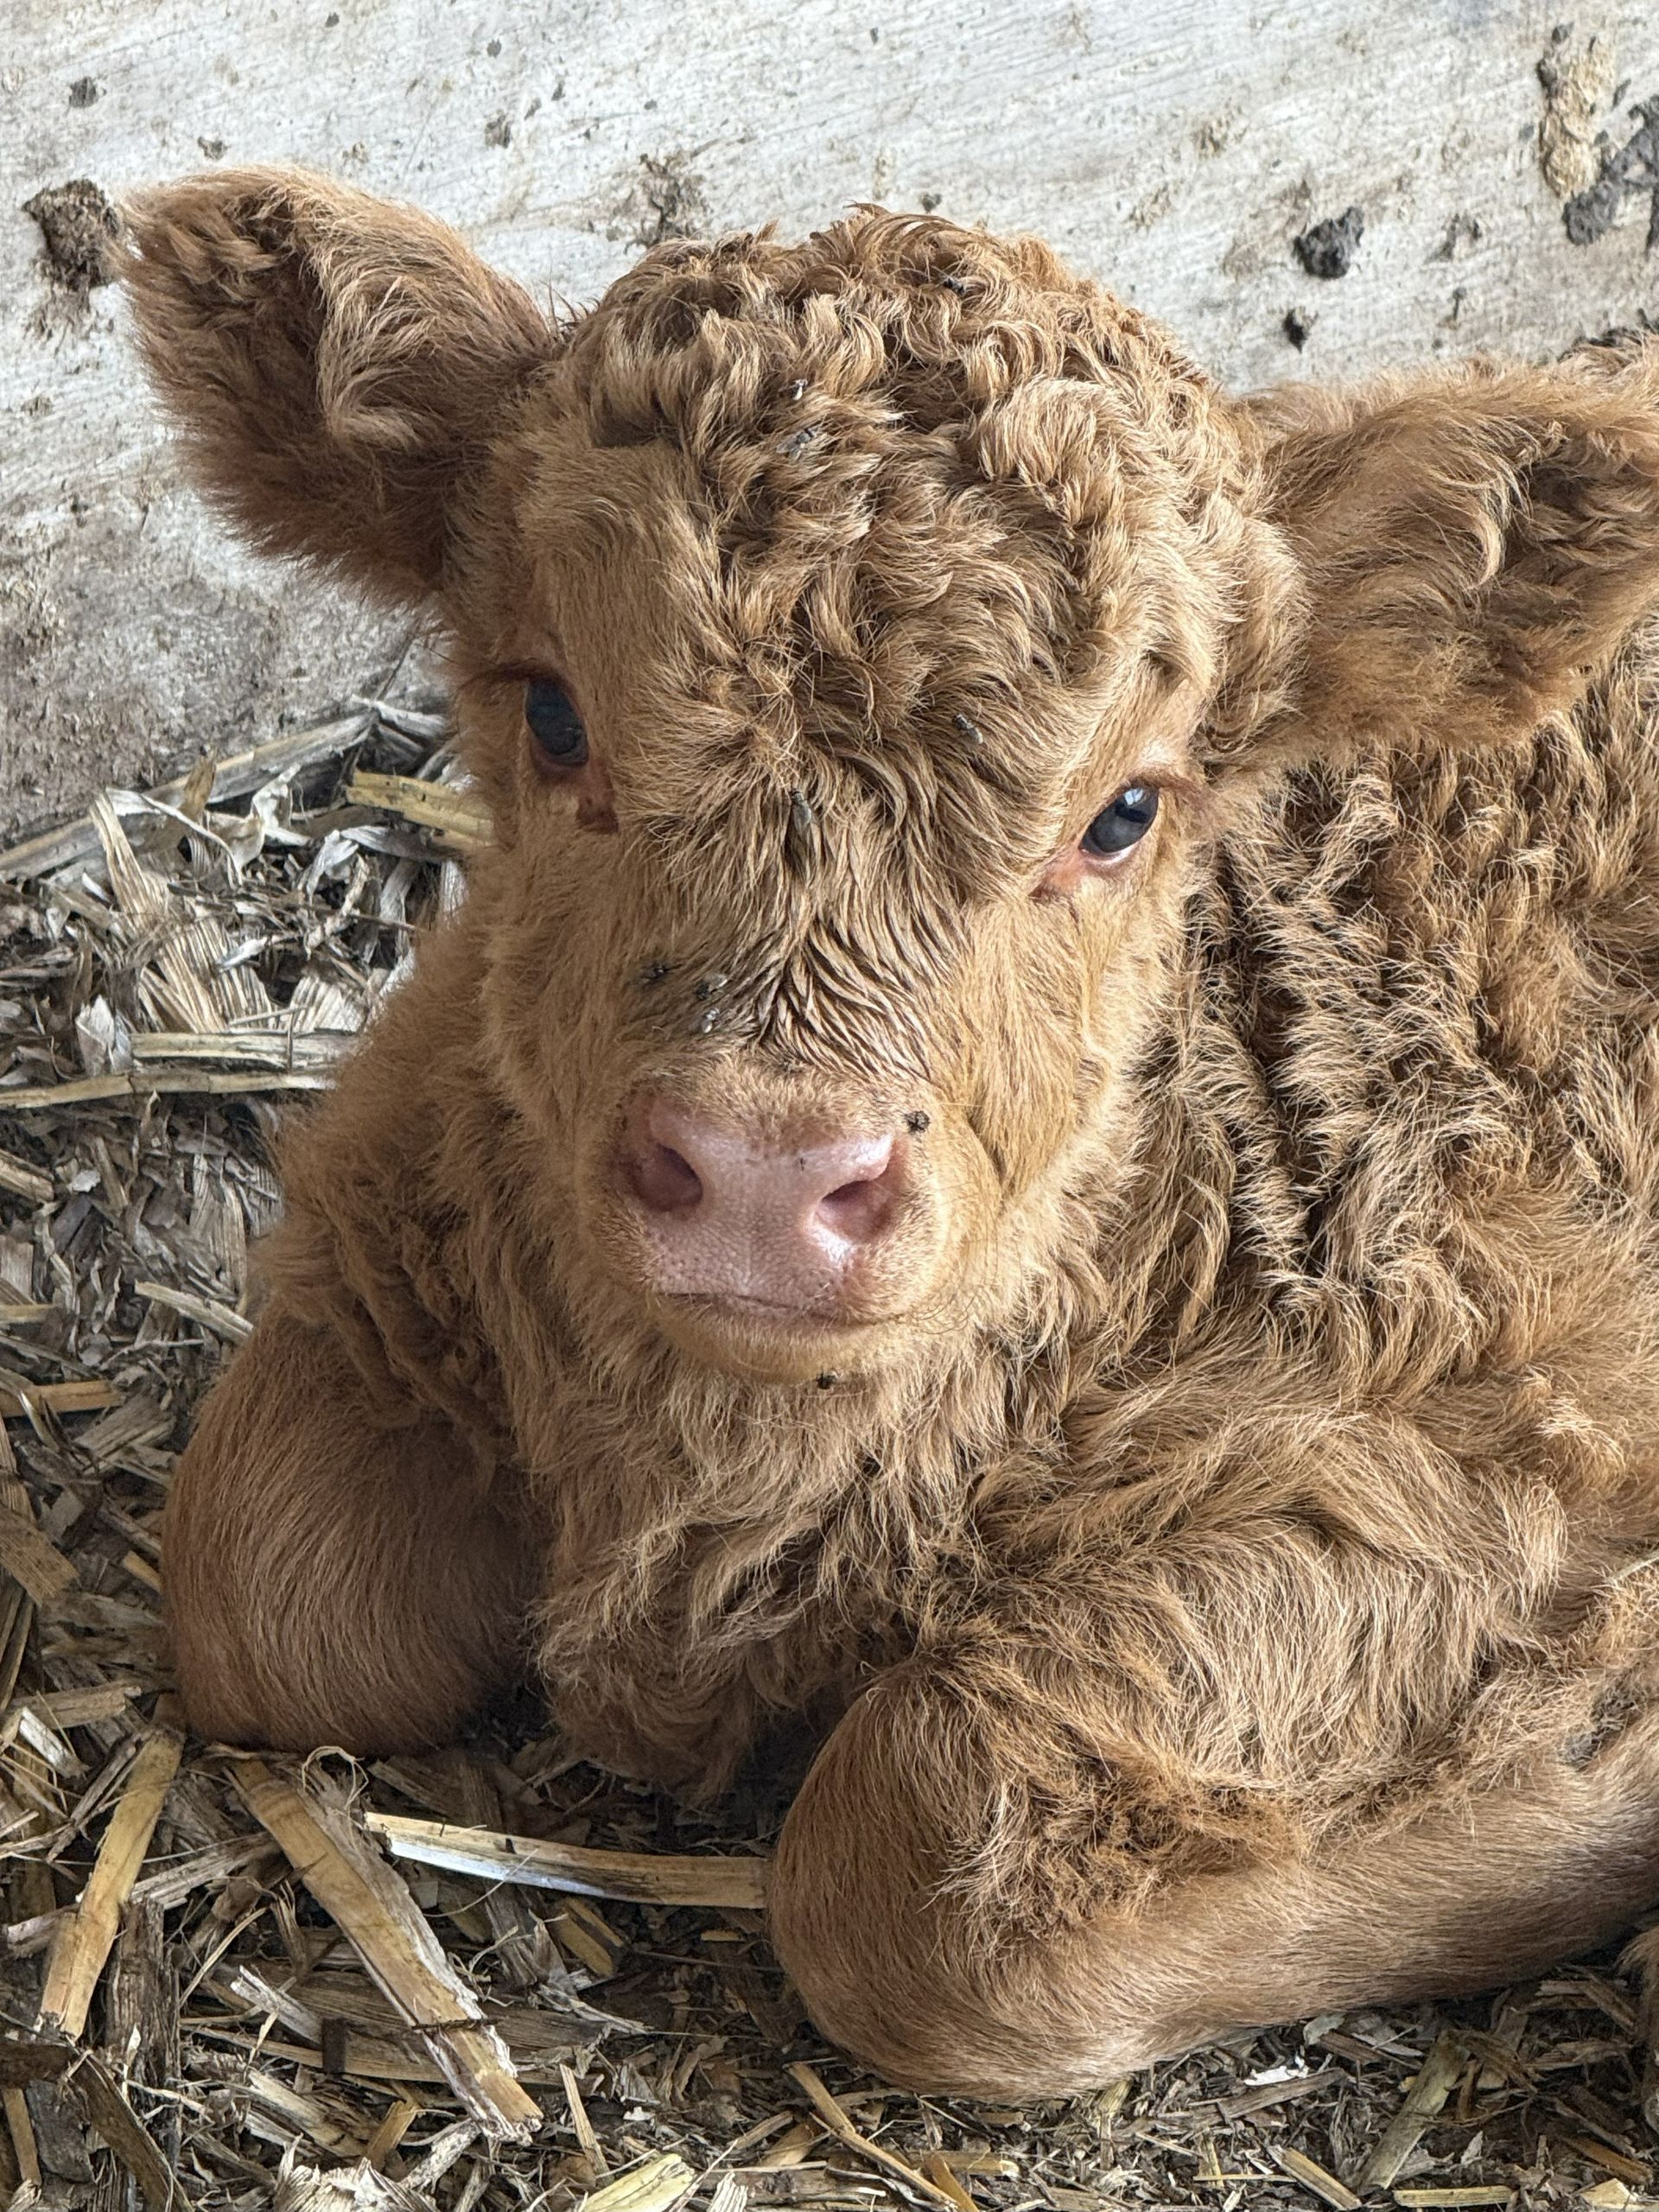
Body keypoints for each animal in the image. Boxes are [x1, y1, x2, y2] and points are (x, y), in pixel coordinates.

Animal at [122, 168, 1659, 2100]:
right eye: (553, 711)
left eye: (1125, 810)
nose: (765, 1178)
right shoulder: (407, 1227)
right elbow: (269, 1595)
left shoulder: (1491, 1481)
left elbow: (921, 1865)